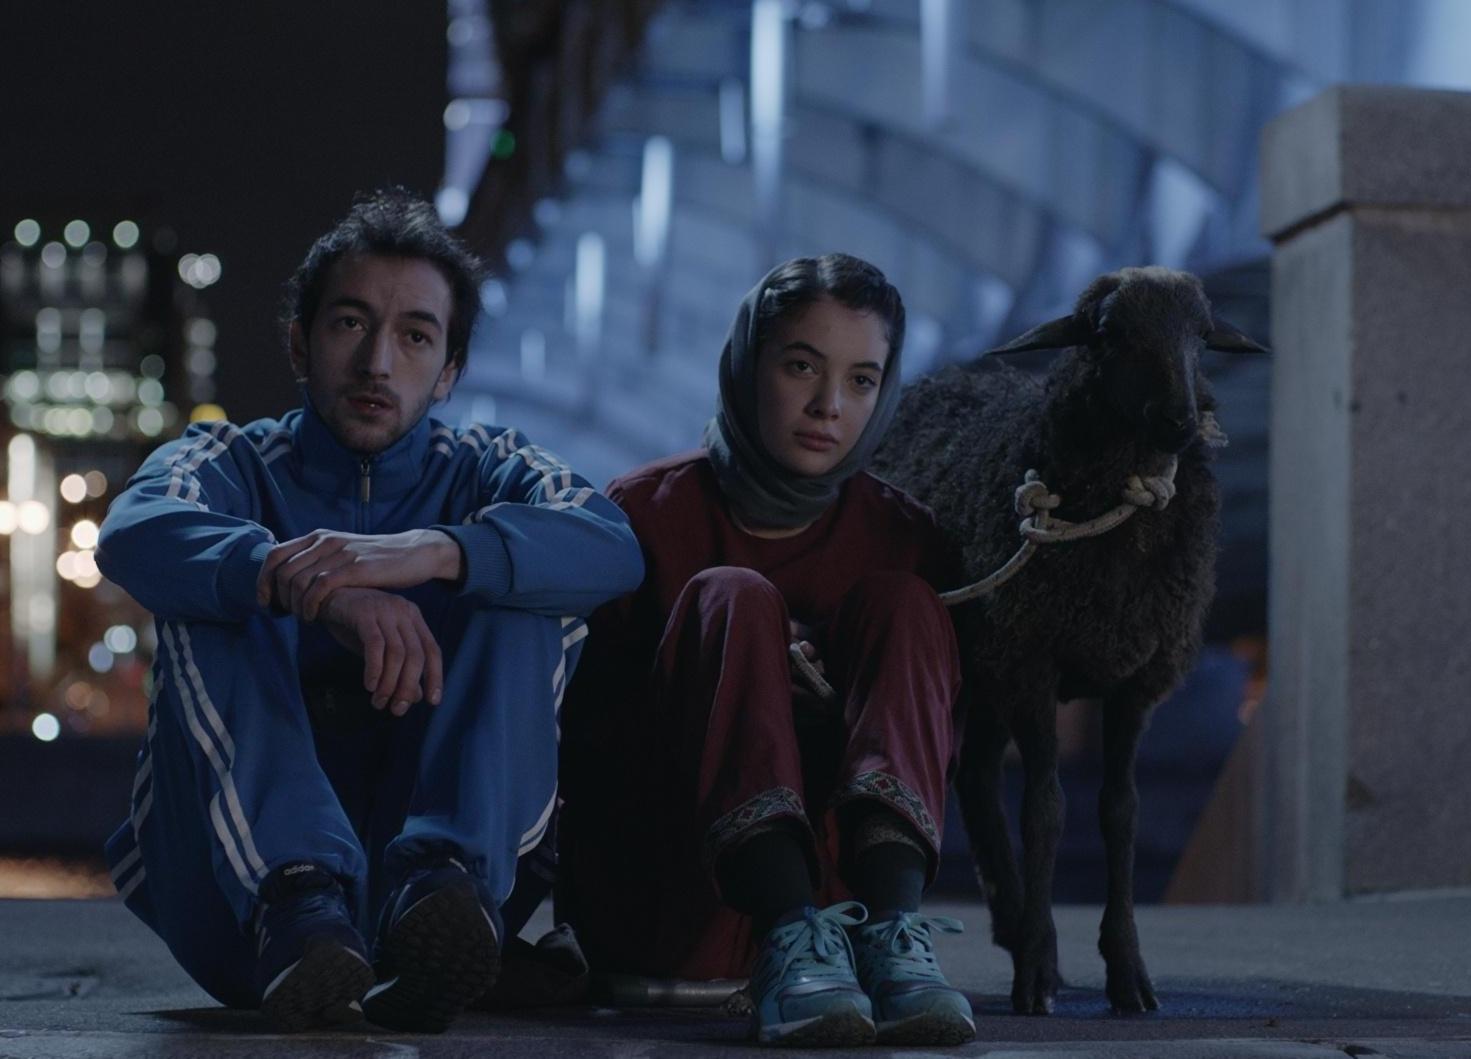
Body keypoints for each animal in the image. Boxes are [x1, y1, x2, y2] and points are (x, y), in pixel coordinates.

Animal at [870, 266, 1266, 1015]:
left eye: (1202, 335)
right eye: (1108, 333)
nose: (1178, 419)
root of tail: (938, 382)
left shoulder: (1135, 679)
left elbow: (1121, 812)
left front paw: (1127, 971)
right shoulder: (1034, 662)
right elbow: (1046, 810)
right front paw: (1035, 967)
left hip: (987, 668)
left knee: (975, 777)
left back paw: (1016, 920)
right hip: (988, 658)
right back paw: (1025, 937)